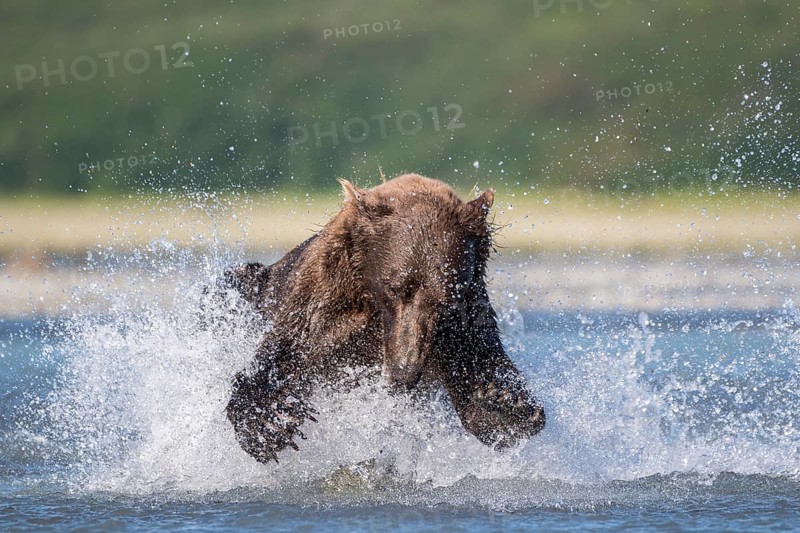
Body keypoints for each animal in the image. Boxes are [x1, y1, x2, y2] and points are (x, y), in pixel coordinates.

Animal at [221, 173, 545, 463]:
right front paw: (270, 420)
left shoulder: (463, 323)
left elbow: (481, 374)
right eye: (396, 286)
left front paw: (503, 403)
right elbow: (284, 353)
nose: (404, 373)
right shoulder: (318, 306)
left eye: (445, 298)